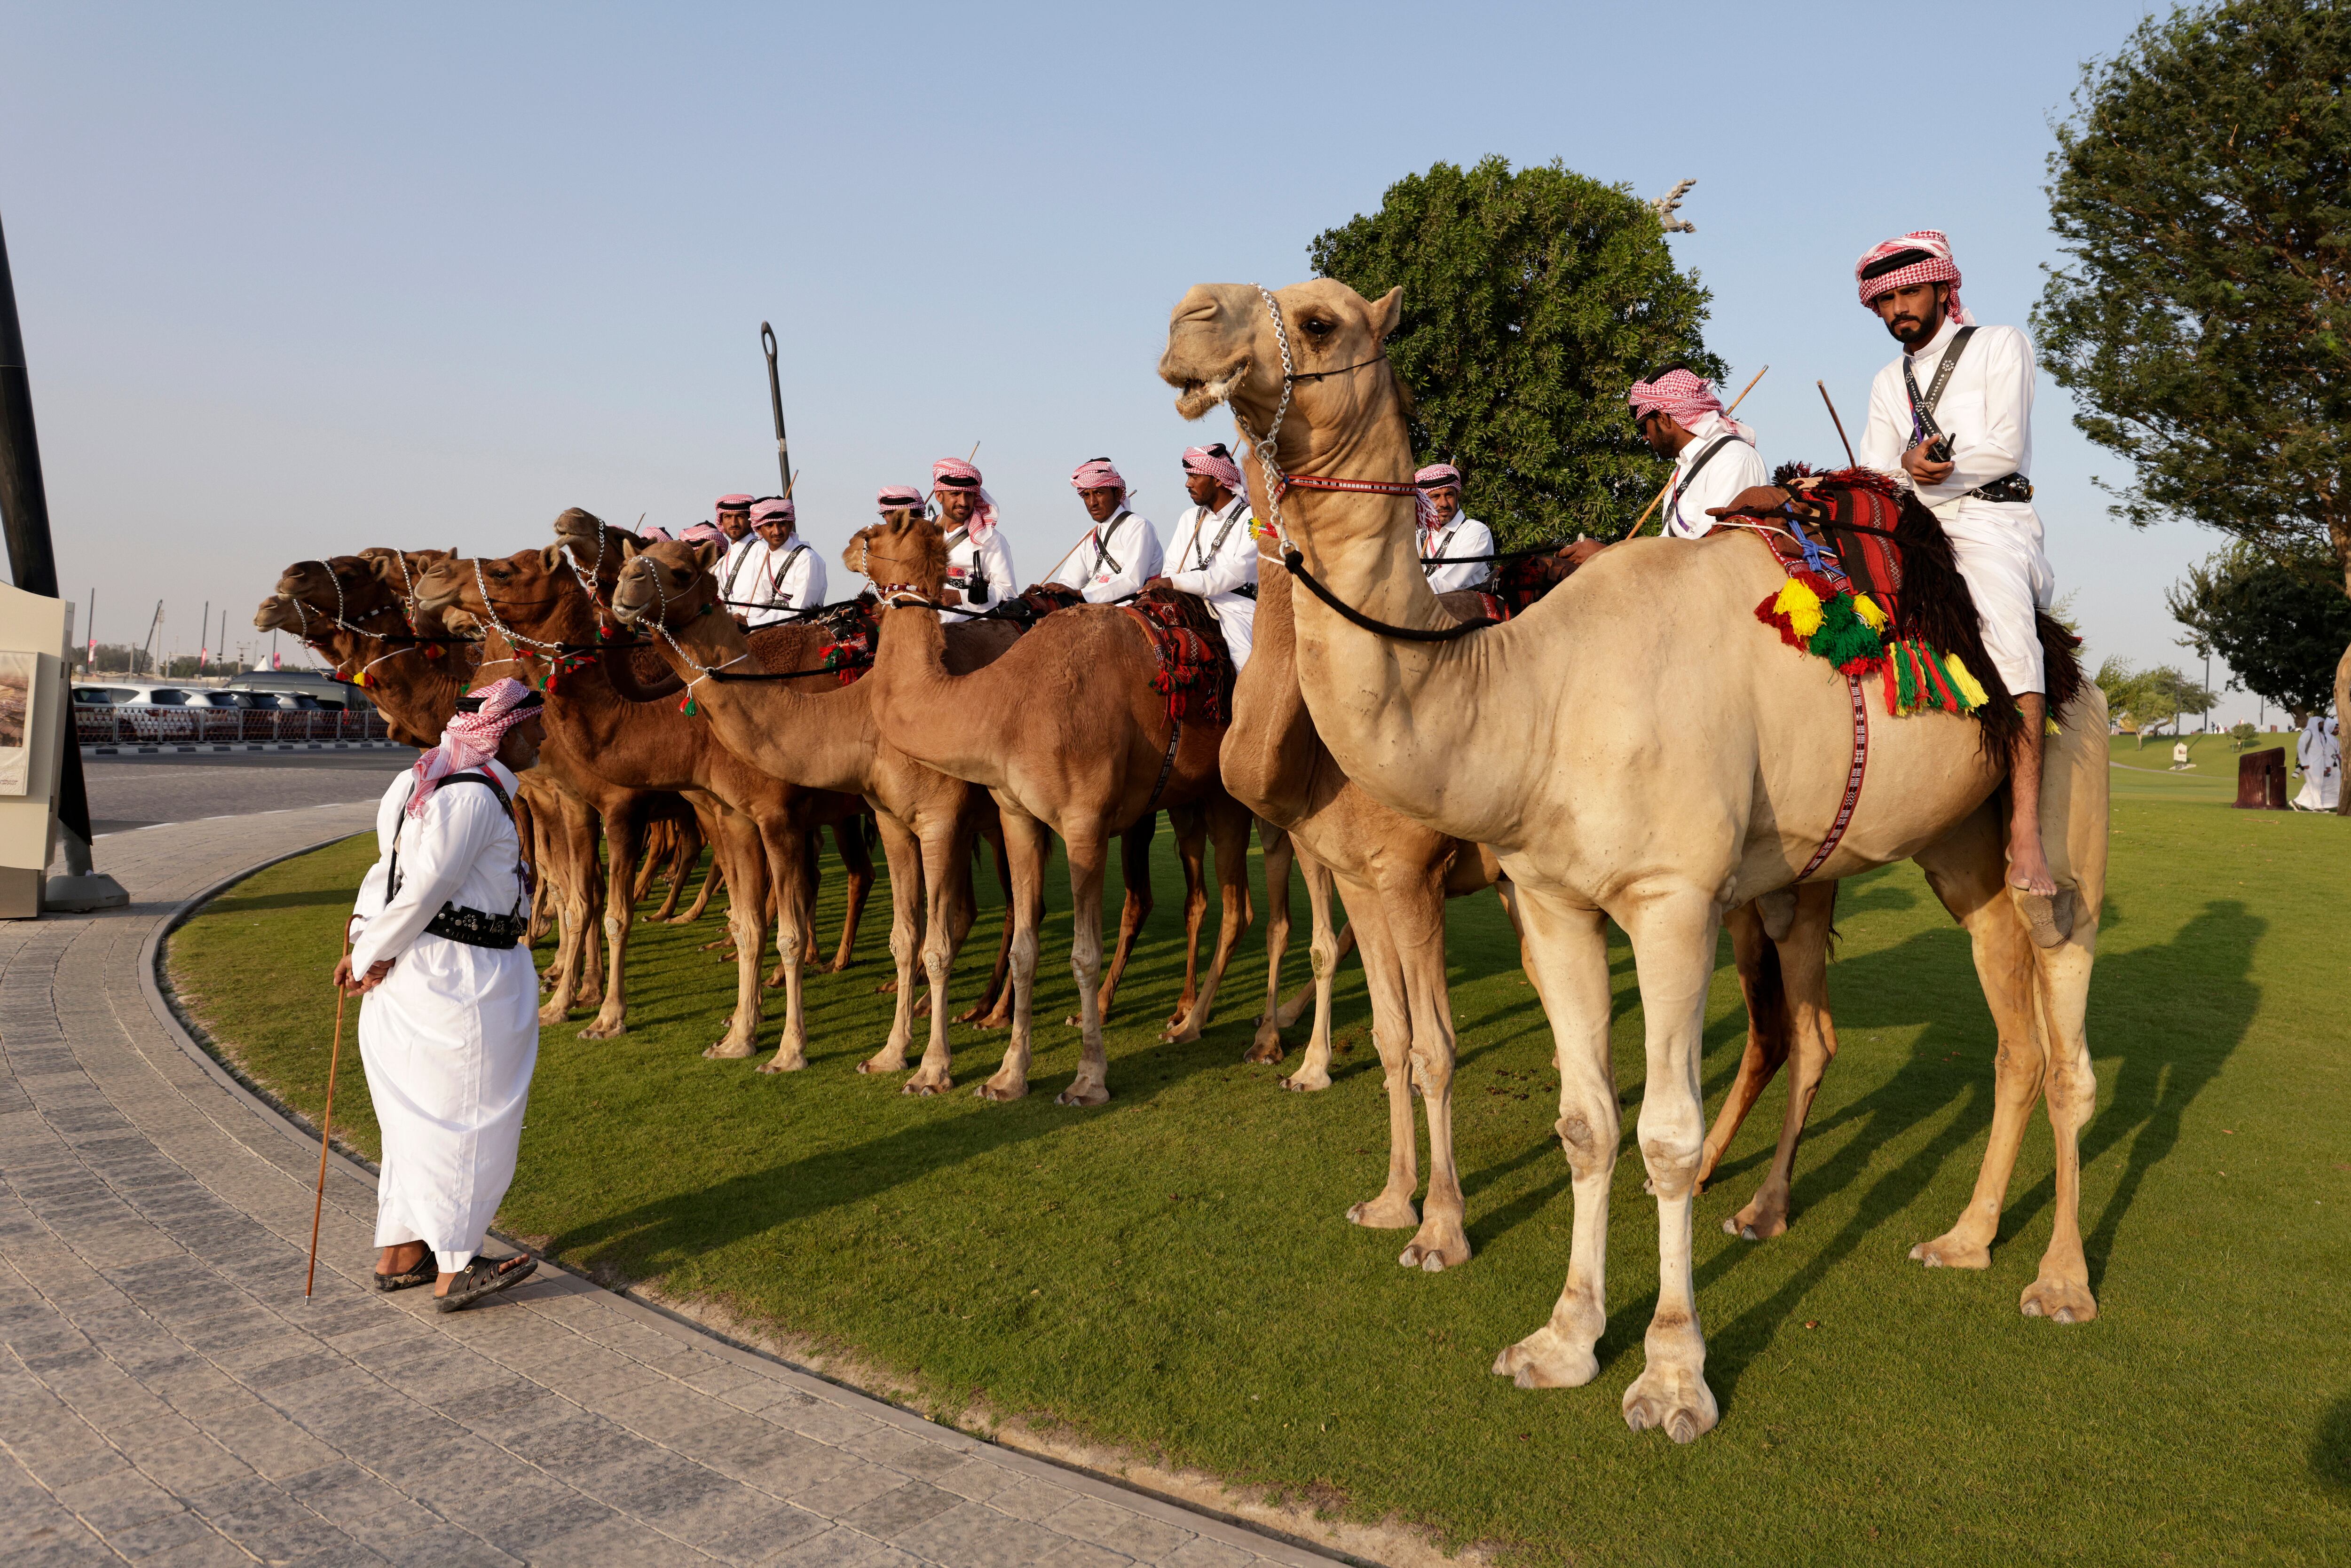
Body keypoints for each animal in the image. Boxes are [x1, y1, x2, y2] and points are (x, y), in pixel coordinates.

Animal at [412, 519, 871, 1063]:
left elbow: (615, 911)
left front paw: (606, 1015)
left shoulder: (660, 808)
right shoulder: (707, 809)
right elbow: (581, 895)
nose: (433, 580)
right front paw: (737, 1032)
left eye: (504, 570)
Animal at [603, 533, 1025, 1091]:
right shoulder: (866, 816)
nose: (623, 591)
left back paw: (992, 1013)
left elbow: (799, 928)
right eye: (633, 559)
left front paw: (794, 1050)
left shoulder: (924, 817)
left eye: (679, 571)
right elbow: (888, 932)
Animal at [855, 517, 1259, 1105]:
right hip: (1191, 798)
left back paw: (1205, 1027)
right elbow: (1026, 946)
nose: (847, 551)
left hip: (1233, 795)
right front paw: (1007, 1076)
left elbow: (1084, 954)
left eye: (873, 534)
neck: (1008, 701)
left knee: (1242, 907)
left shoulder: (1085, 821)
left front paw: (1088, 1079)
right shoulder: (1015, 814)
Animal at [1161, 279, 2109, 1443]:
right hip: (1940, 858)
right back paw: (1943, 1233)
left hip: (2063, 825)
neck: (1533, 691)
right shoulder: (1546, 897)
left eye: (1321, 319)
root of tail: (2075, 665)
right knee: (1995, 1033)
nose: (1190, 318)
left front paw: (1667, 1375)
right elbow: (1579, 1119)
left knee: (2065, 1035)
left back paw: (2058, 1280)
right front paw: (1561, 1338)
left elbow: (1659, 1131)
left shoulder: (1667, 900)